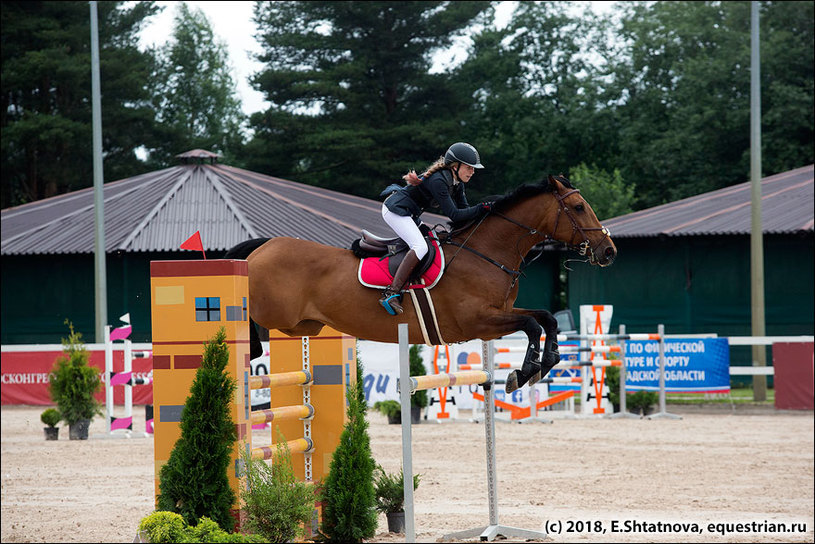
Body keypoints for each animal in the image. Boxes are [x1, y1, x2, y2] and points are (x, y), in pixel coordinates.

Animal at [226, 174, 616, 392]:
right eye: (578, 207)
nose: (609, 251)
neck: (486, 252)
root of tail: (261, 248)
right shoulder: (478, 321)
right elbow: (533, 324)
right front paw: (525, 371)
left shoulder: (500, 313)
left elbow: (545, 319)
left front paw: (542, 364)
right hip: (274, 313)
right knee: (246, 324)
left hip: (301, 325)